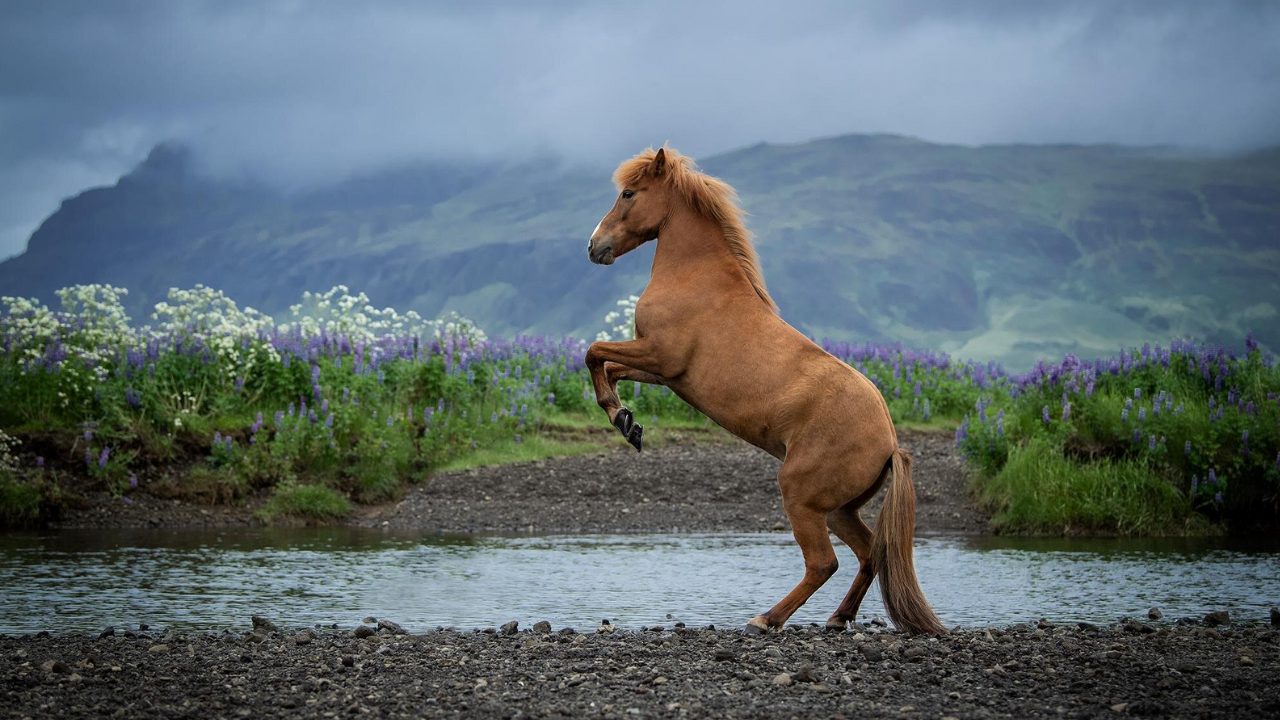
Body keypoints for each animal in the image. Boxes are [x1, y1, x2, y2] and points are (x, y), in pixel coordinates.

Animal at [586, 146, 947, 632]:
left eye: (628, 193)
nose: (594, 247)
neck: (695, 277)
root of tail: (890, 444)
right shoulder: (662, 372)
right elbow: (608, 366)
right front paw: (627, 422)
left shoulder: (660, 356)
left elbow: (593, 353)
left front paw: (620, 416)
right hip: (838, 510)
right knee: (869, 552)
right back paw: (838, 618)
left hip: (801, 498)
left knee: (824, 563)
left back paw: (766, 619)